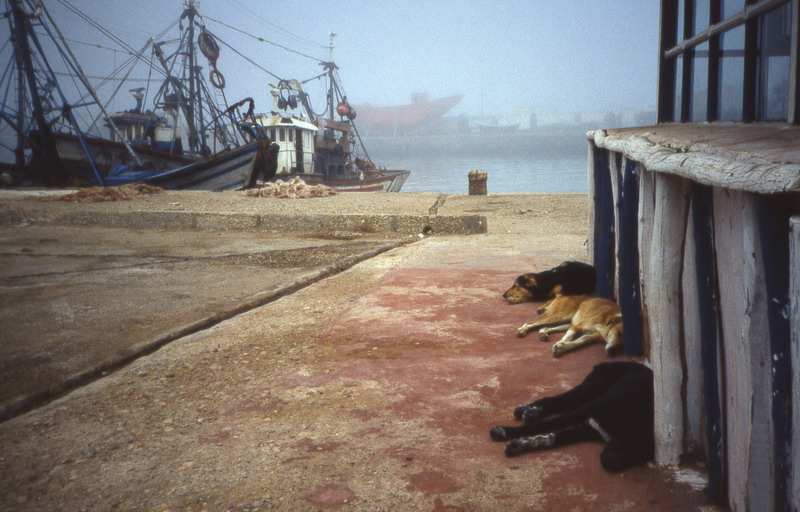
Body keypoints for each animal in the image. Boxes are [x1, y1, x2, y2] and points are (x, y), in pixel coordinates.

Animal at [488, 360, 656, 472]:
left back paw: (531, 412)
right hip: (589, 389)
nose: (613, 461)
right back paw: (526, 410)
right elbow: (540, 426)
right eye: (635, 445)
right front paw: (504, 431)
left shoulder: (586, 429)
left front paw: (520, 444)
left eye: (643, 454)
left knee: (559, 403)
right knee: (555, 400)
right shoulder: (582, 413)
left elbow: (551, 438)